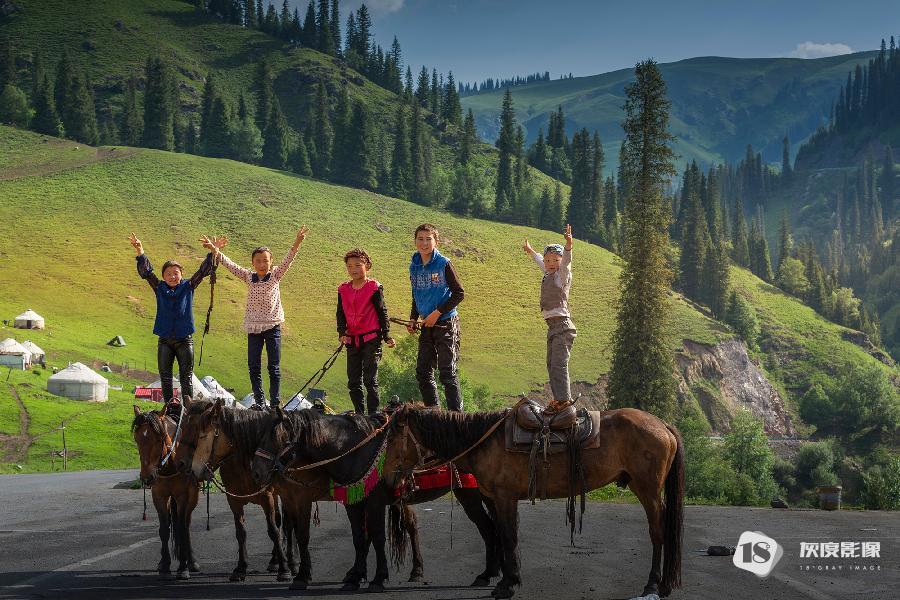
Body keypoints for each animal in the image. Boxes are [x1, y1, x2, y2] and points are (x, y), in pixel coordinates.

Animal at [131, 405, 200, 580]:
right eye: (137, 439)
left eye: (159, 438)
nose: (147, 477)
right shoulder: (159, 496)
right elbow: (163, 529)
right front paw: (164, 564)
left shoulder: (183, 496)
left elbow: (181, 528)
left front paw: (183, 567)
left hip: (193, 496)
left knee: (186, 524)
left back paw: (191, 561)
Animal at [167, 402, 293, 582]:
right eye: (183, 427)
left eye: (200, 433)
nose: (180, 463)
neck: (245, 461)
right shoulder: (233, 500)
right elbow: (241, 532)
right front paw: (241, 568)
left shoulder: (267, 497)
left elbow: (274, 531)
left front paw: (284, 569)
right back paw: (274, 560)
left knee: (282, 523)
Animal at [249, 406, 503, 591]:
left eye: (274, 435)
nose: (257, 472)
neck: (353, 451)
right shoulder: (353, 502)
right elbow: (359, 538)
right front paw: (355, 577)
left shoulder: (374, 502)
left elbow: (378, 537)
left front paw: (378, 578)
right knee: (491, 528)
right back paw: (489, 572)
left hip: (470, 495)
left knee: (488, 528)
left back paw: (486, 574)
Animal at [382, 404, 684, 599]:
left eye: (394, 437)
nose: (387, 480)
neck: (484, 440)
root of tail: (663, 425)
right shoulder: (498, 499)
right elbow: (503, 535)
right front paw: (508, 578)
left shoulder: (504, 497)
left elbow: (507, 537)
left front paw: (507, 585)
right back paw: (663, 585)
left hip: (647, 489)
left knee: (657, 532)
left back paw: (653, 586)